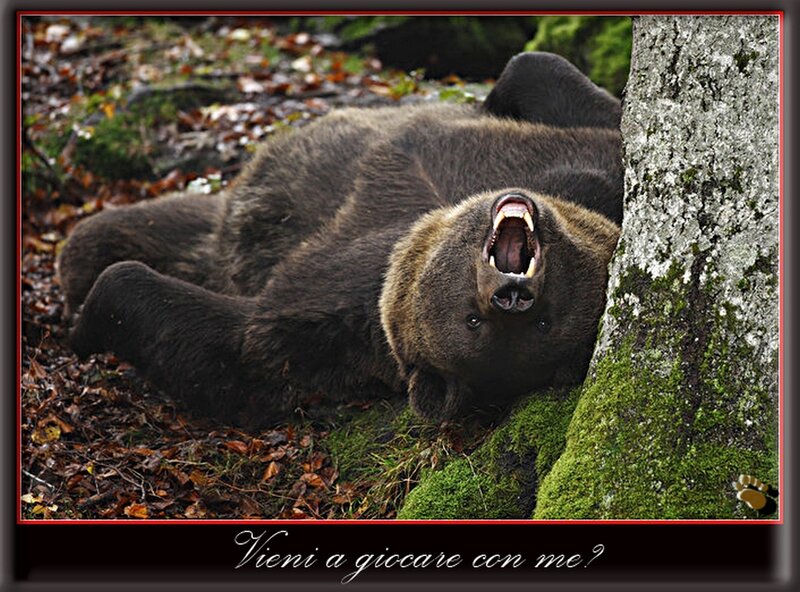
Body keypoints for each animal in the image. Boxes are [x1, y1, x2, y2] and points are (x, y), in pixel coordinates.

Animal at [57, 52, 623, 425]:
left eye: (547, 323)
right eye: (472, 317)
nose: (513, 296)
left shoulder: (339, 310)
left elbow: (233, 347)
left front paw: (85, 328)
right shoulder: (573, 161)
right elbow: (542, 76)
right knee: (98, 238)